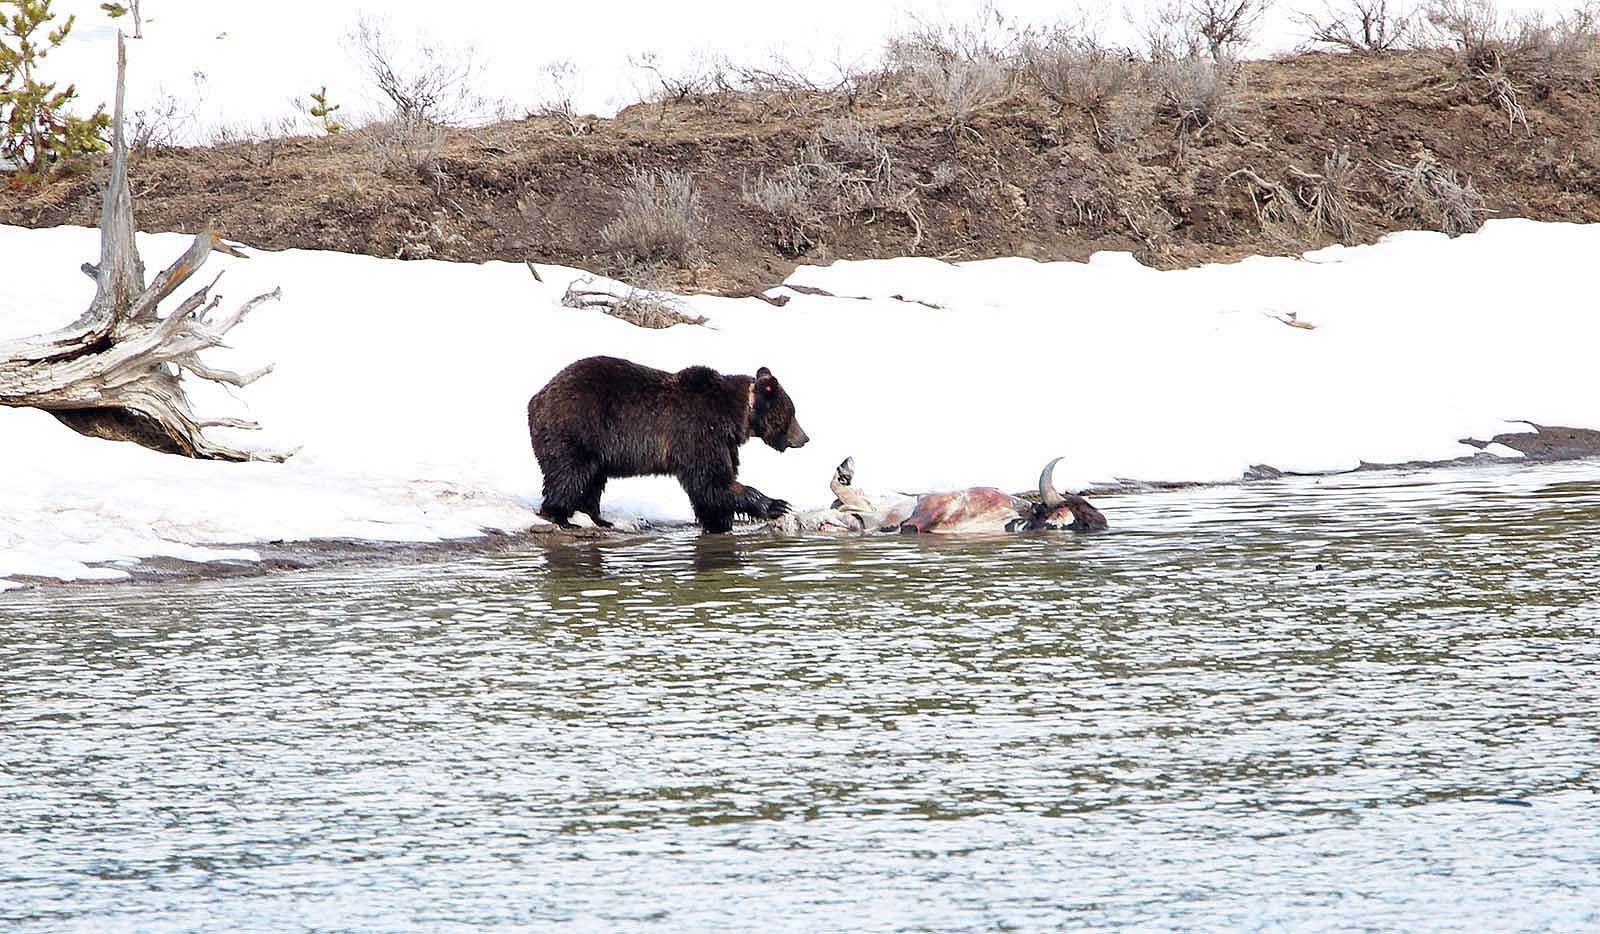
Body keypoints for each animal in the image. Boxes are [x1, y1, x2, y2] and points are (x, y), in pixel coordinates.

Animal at [527, 355, 809, 533]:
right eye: (792, 413)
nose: (804, 438)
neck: (735, 417)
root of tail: (537, 397)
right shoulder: (698, 432)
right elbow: (712, 482)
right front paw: (777, 504)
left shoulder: (724, 443)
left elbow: (712, 490)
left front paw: (719, 523)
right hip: (578, 429)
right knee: (570, 474)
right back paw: (560, 516)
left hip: (594, 447)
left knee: (593, 480)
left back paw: (599, 519)